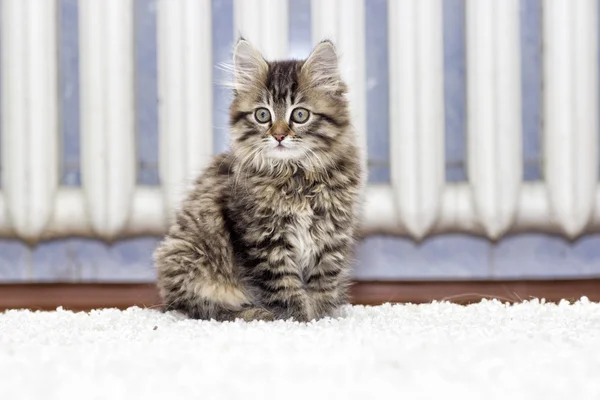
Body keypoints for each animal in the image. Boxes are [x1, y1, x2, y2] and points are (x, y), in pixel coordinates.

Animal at [152, 38, 364, 322]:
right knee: (203, 309)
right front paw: (299, 320)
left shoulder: (331, 236)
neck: (295, 176)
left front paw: (322, 319)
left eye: (300, 115)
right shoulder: (262, 239)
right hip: (188, 261)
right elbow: (284, 287)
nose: (279, 136)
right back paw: (255, 313)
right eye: (262, 115)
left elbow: (322, 285)